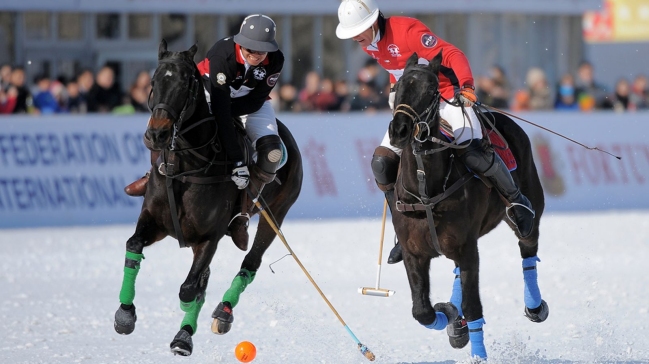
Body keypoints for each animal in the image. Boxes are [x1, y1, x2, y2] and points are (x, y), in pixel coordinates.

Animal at [112, 39, 302, 356]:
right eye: (153, 81)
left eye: (187, 84)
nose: (156, 135)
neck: (185, 166)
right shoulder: (155, 222)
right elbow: (134, 246)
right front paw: (125, 315)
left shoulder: (209, 236)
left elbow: (190, 289)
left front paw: (186, 332)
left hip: (276, 213)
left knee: (250, 262)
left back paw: (221, 314)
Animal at [390, 52, 548, 362]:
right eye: (397, 86)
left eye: (431, 90)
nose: (399, 130)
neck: (426, 193)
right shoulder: (415, 253)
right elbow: (423, 311)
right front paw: (452, 318)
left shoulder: (467, 247)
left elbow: (473, 305)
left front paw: (476, 351)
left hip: (528, 210)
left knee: (528, 247)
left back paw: (535, 307)